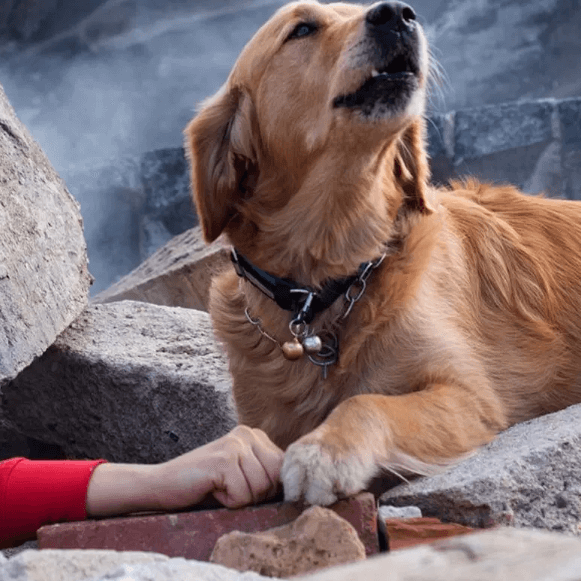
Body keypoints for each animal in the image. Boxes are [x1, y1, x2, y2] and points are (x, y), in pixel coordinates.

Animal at [184, 1, 580, 502]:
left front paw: (325, 451)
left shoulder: (469, 396)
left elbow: (367, 401)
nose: (398, 14)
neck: (326, 286)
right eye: (302, 29)